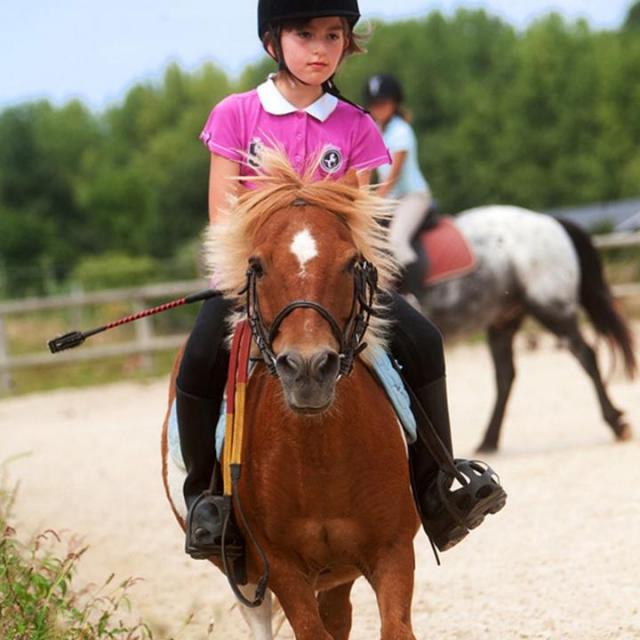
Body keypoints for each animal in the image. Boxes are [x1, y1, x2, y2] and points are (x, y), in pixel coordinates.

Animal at [160, 155, 420, 640]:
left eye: (351, 262)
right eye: (258, 265)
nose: (308, 369)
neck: (319, 456)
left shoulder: (393, 552)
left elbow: (394, 627)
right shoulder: (279, 569)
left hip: (338, 574)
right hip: (244, 576)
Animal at [420, 205, 636, 450]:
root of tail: (551, 220)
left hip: (552, 309)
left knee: (586, 356)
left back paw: (615, 422)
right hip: (504, 320)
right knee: (505, 375)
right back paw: (489, 440)